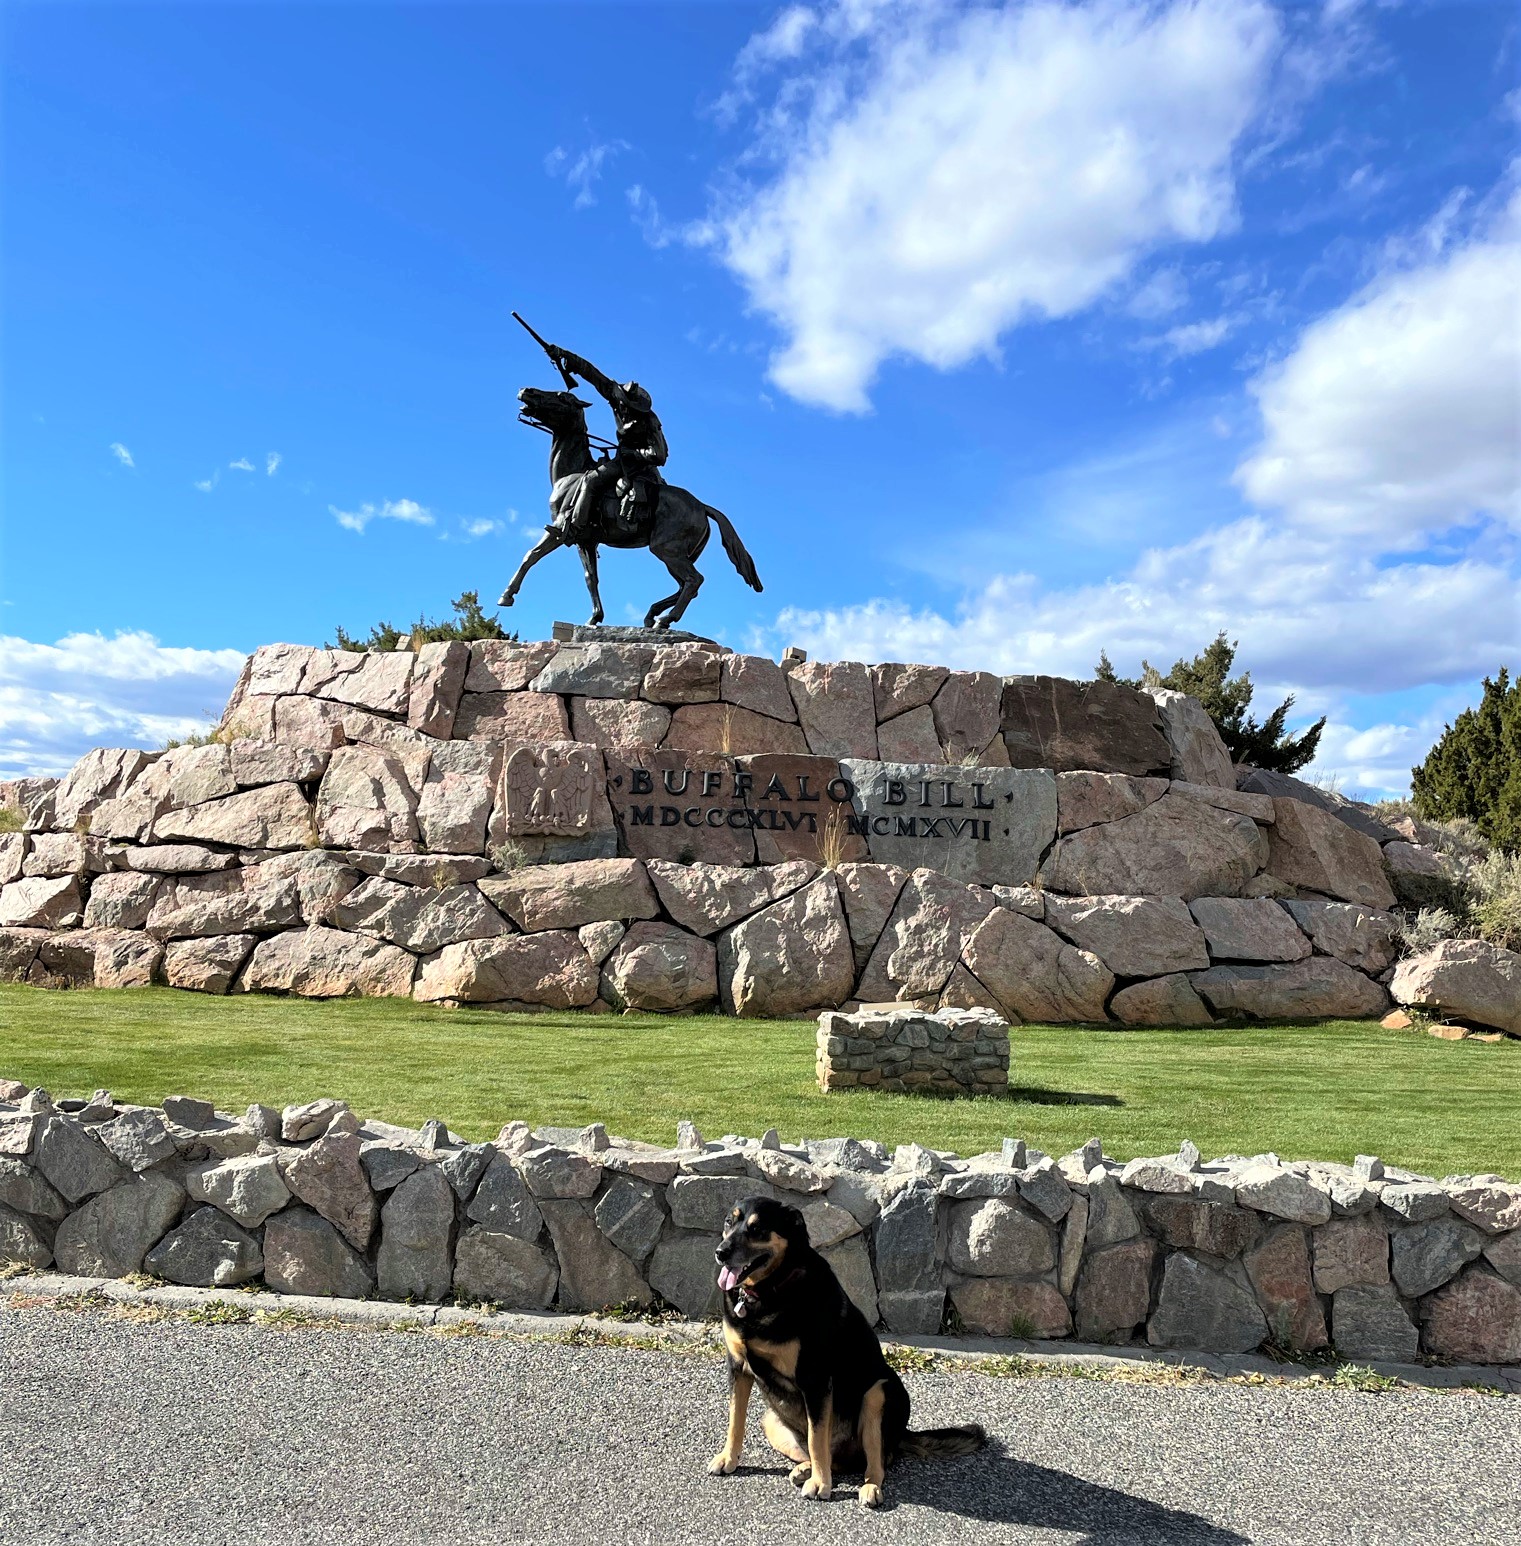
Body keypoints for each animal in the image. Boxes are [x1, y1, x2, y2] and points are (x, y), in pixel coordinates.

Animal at [711, 1193, 989, 1508]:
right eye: (729, 1222)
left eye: (757, 1229)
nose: (720, 1253)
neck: (767, 1291)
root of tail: (902, 1435)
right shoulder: (738, 1368)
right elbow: (735, 1420)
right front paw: (728, 1459)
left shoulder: (815, 1381)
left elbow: (817, 1438)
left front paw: (821, 1485)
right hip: (771, 1420)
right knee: (836, 1459)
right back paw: (805, 1469)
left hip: (878, 1394)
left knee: (876, 1461)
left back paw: (867, 1488)